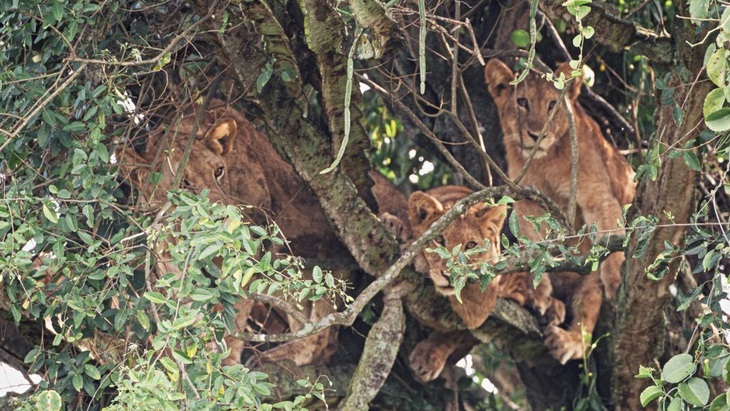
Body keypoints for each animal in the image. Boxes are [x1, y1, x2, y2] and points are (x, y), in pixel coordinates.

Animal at [400, 187, 556, 384]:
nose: (450, 276)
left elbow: (458, 330)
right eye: (439, 240)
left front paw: (427, 358)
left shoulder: (484, 295)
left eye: (471, 245)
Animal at [486, 58, 636, 364]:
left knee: (585, 326)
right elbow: (534, 246)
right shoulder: (527, 202)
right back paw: (545, 305)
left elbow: (611, 235)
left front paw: (616, 278)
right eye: (522, 102)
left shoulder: (597, 194)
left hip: (588, 283)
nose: (536, 135)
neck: (544, 162)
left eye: (553, 104)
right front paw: (539, 292)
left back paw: (567, 341)